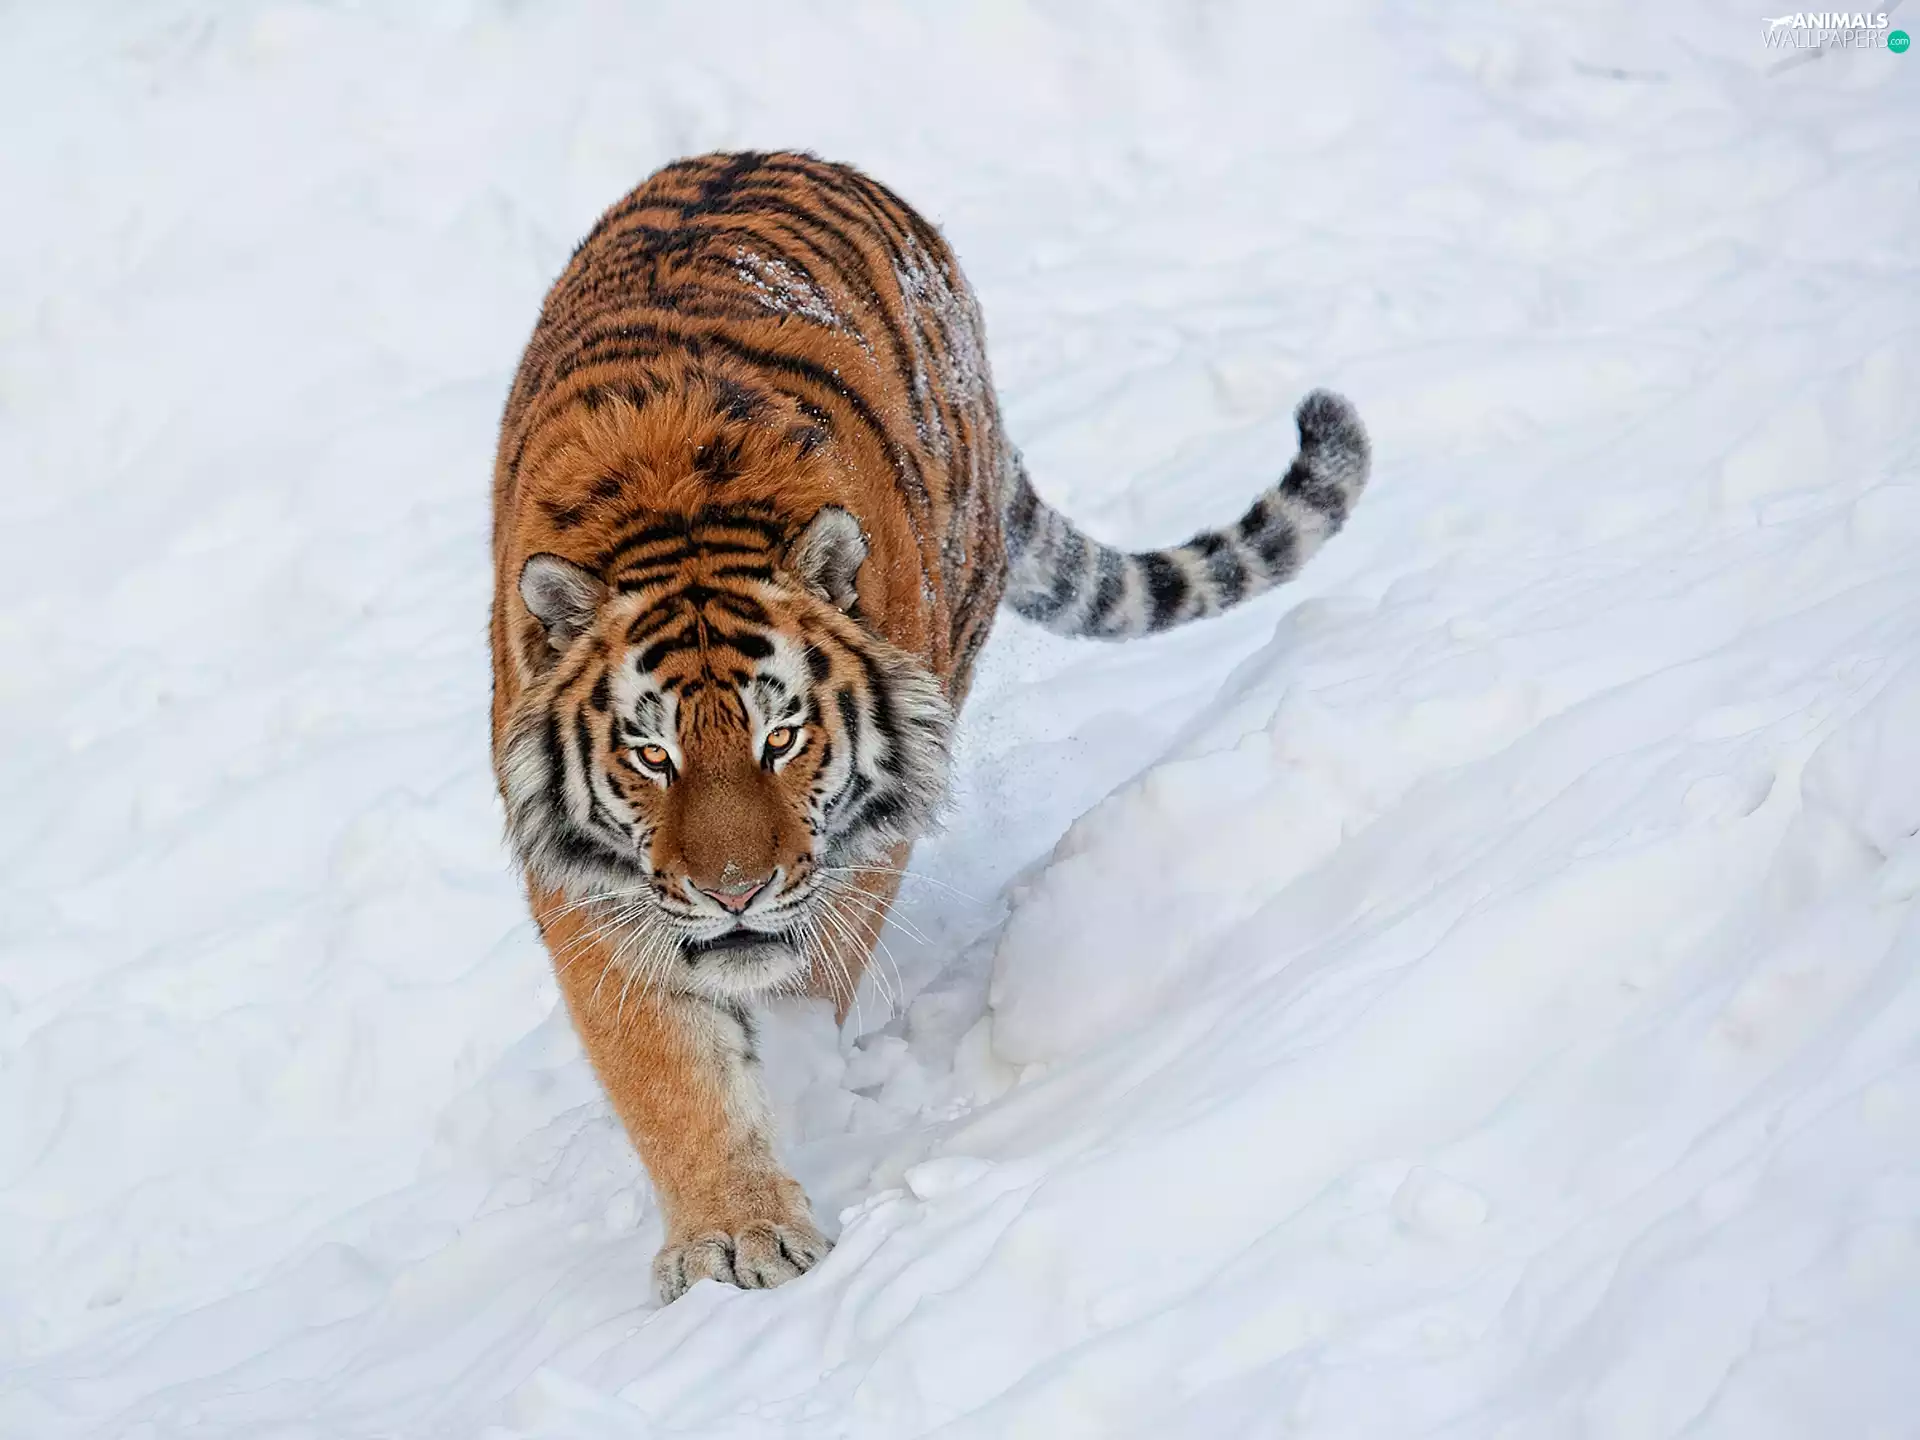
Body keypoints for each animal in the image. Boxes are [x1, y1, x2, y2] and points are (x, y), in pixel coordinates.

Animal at [490, 150, 1370, 1303]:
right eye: (652, 755)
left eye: (782, 738)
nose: (733, 894)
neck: (675, 514)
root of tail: (776, 151)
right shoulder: (589, 885)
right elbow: (667, 1074)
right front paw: (733, 1235)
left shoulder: (858, 840)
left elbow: (809, 964)